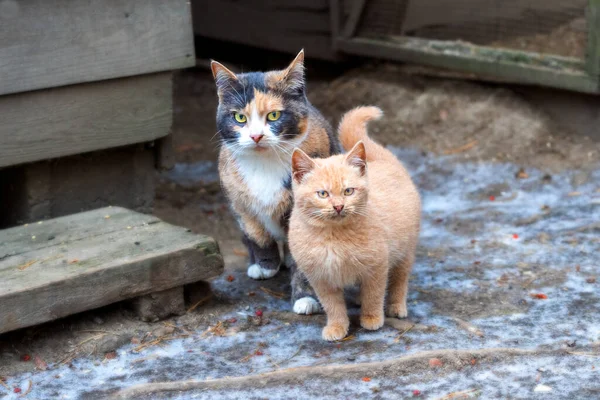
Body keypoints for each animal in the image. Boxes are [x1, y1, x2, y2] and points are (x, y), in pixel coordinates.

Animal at [212, 49, 340, 312]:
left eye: (273, 115)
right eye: (240, 118)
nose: (256, 136)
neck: (264, 166)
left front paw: (305, 298)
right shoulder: (238, 200)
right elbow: (256, 234)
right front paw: (266, 265)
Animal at [288, 106, 420, 340]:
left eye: (348, 191)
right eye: (323, 194)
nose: (339, 206)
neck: (333, 236)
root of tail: (384, 161)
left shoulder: (377, 265)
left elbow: (374, 294)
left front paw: (372, 318)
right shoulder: (320, 278)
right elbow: (333, 306)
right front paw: (337, 327)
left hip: (405, 249)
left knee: (399, 279)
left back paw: (396, 306)